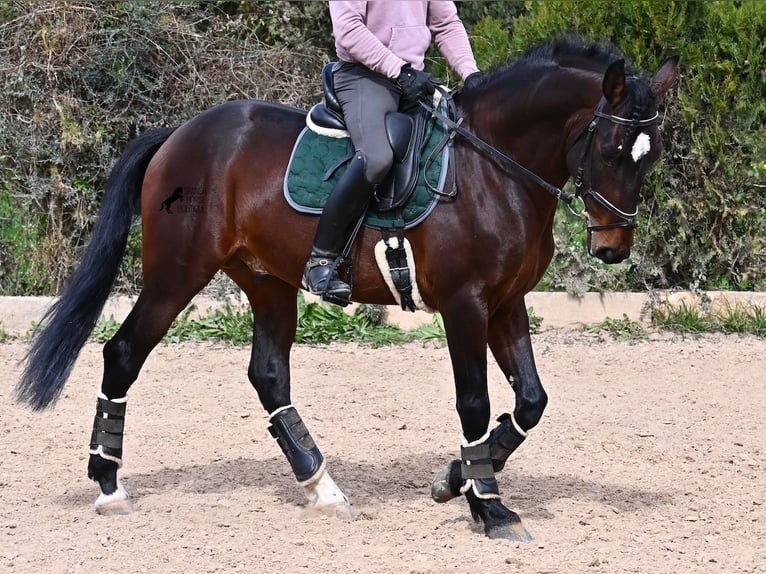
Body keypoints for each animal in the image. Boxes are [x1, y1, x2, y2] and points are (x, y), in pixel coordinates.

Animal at [15, 38, 680, 544]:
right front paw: (487, 505)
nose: (612, 248)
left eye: (651, 157)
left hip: (268, 281)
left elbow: (531, 401)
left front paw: (453, 479)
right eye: (612, 148)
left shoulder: (506, 302)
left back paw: (323, 487)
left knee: (268, 375)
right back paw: (109, 487)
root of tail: (183, 132)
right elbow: (475, 402)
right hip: (177, 275)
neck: (496, 169)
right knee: (124, 354)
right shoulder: (465, 305)